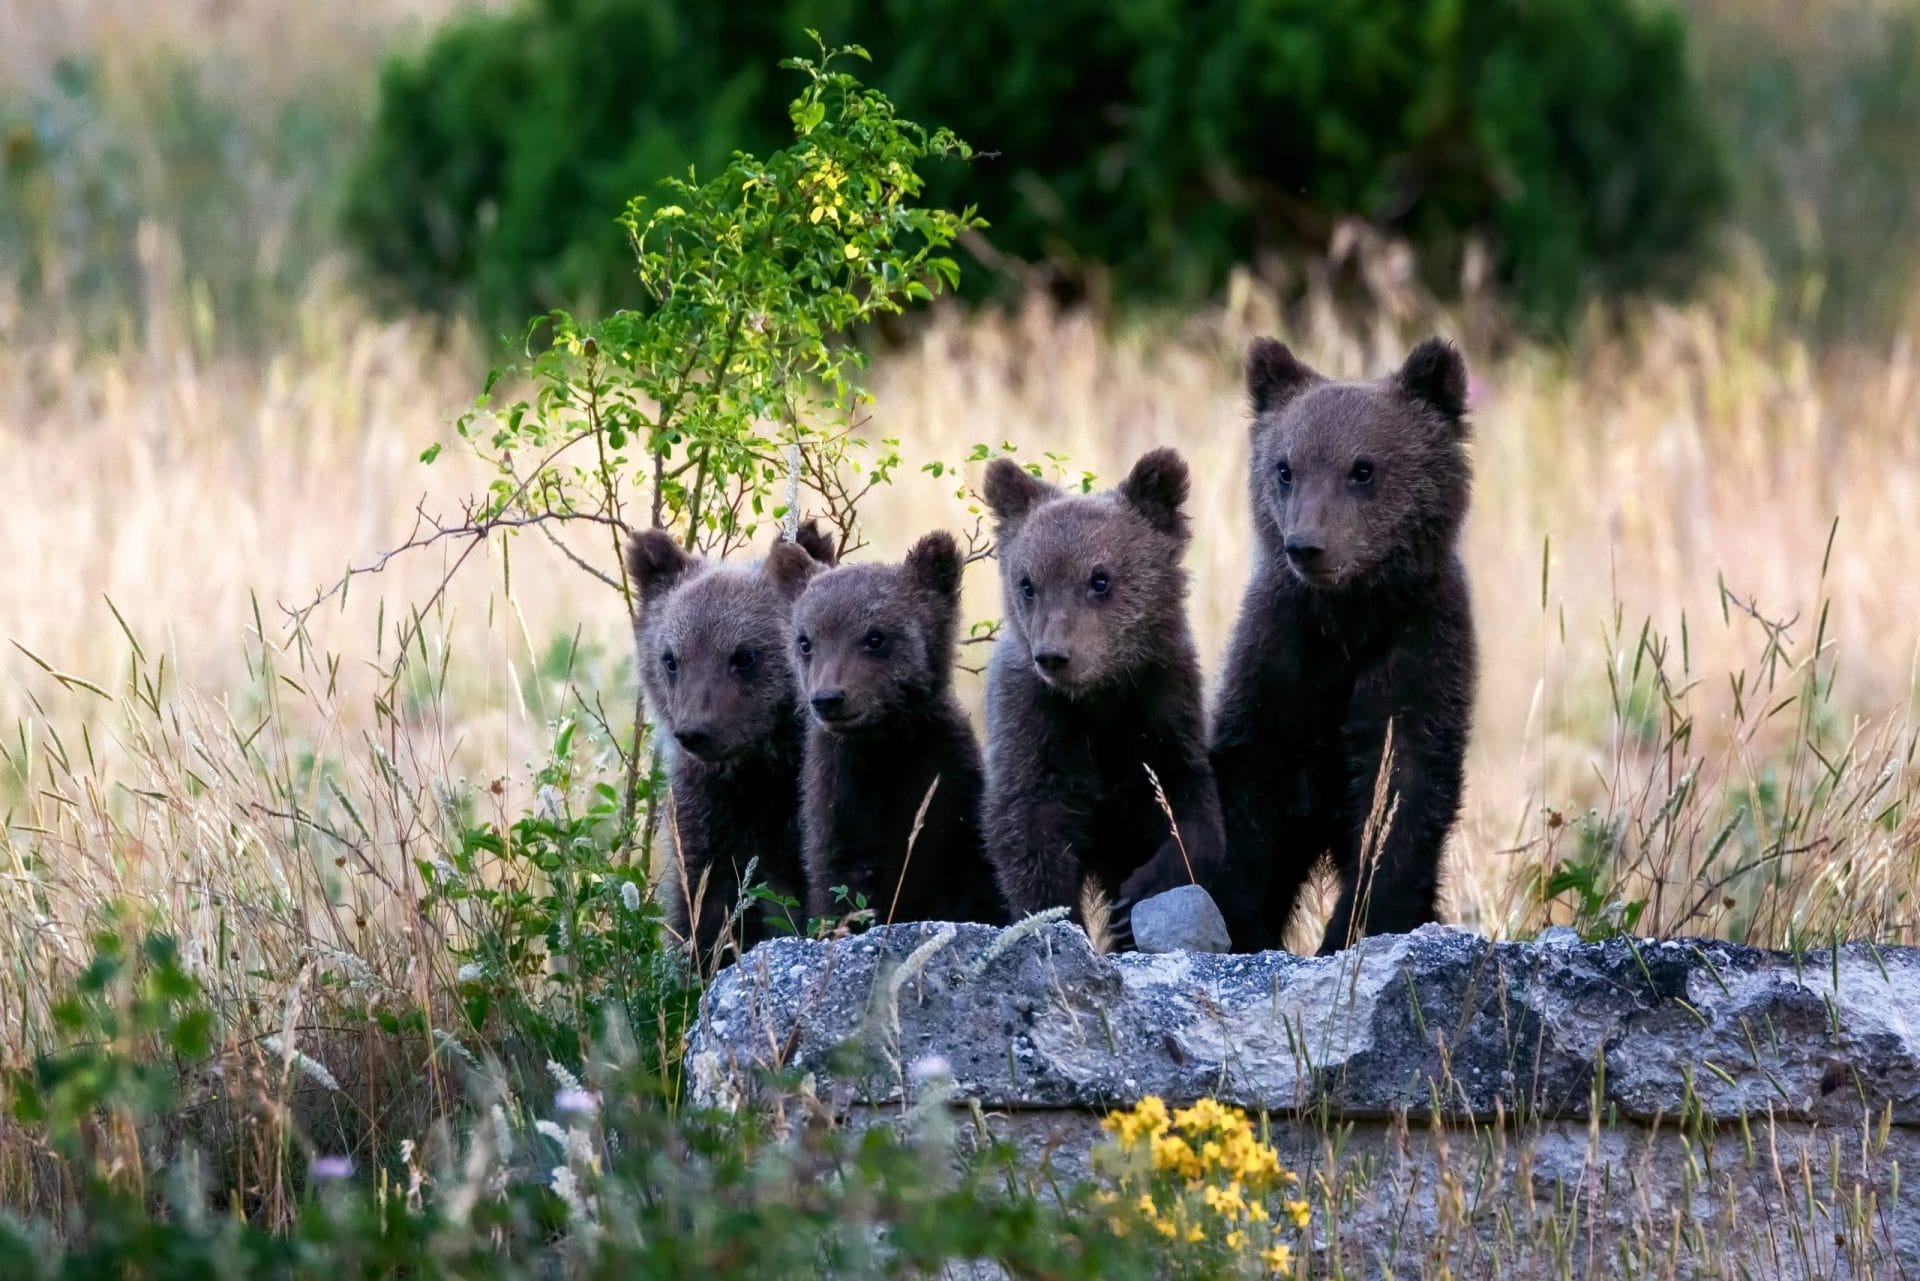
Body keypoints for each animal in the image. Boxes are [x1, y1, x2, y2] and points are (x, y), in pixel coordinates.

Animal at [789, 530, 1005, 927]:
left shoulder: (948, 786)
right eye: (805, 641)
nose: (829, 698)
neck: (885, 747)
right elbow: (839, 885)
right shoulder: (839, 801)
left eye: (875, 637)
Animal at [980, 448, 1226, 941]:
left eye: (1100, 579)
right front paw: (1058, 918)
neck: (1100, 697)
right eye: (1028, 583)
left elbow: (1192, 813)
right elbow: (1027, 828)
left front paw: (1135, 896)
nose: (1054, 656)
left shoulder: (1164, 708)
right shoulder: (1034, 725)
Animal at [1211, 336, 1477, 956]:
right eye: (1285, 468)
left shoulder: (1417, 650)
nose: (1307, 545)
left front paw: (1354, 927)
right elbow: (1250, 793)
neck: (1349, 618)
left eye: (1363, 468)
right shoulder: (1282, 657)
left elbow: (1399, 795)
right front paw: (1243, 925)